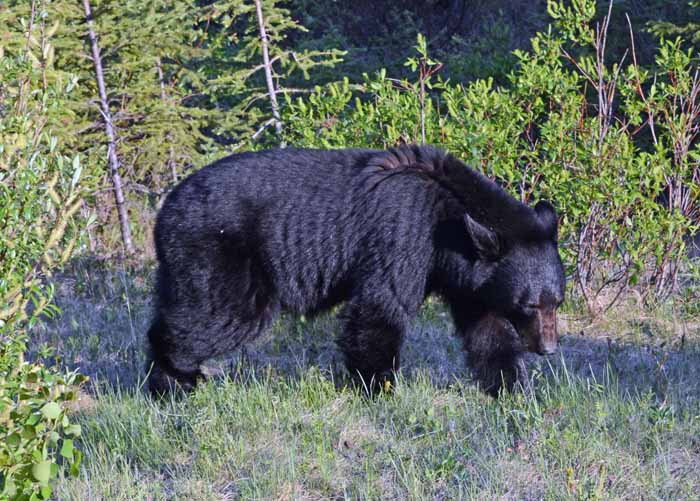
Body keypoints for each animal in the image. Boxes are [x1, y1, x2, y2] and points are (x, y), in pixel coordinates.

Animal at [146, 145, 564, 394]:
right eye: (529, 304)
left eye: (555, 302)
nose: (548, 348)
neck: (448, 217)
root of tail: (164, 212)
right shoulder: (405, 235)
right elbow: (381, 306)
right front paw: (379, 385)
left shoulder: (470, 279)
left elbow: (488, 329)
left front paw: (513, 387)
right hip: (218, 253)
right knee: (217, 317)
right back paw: (174, 380)